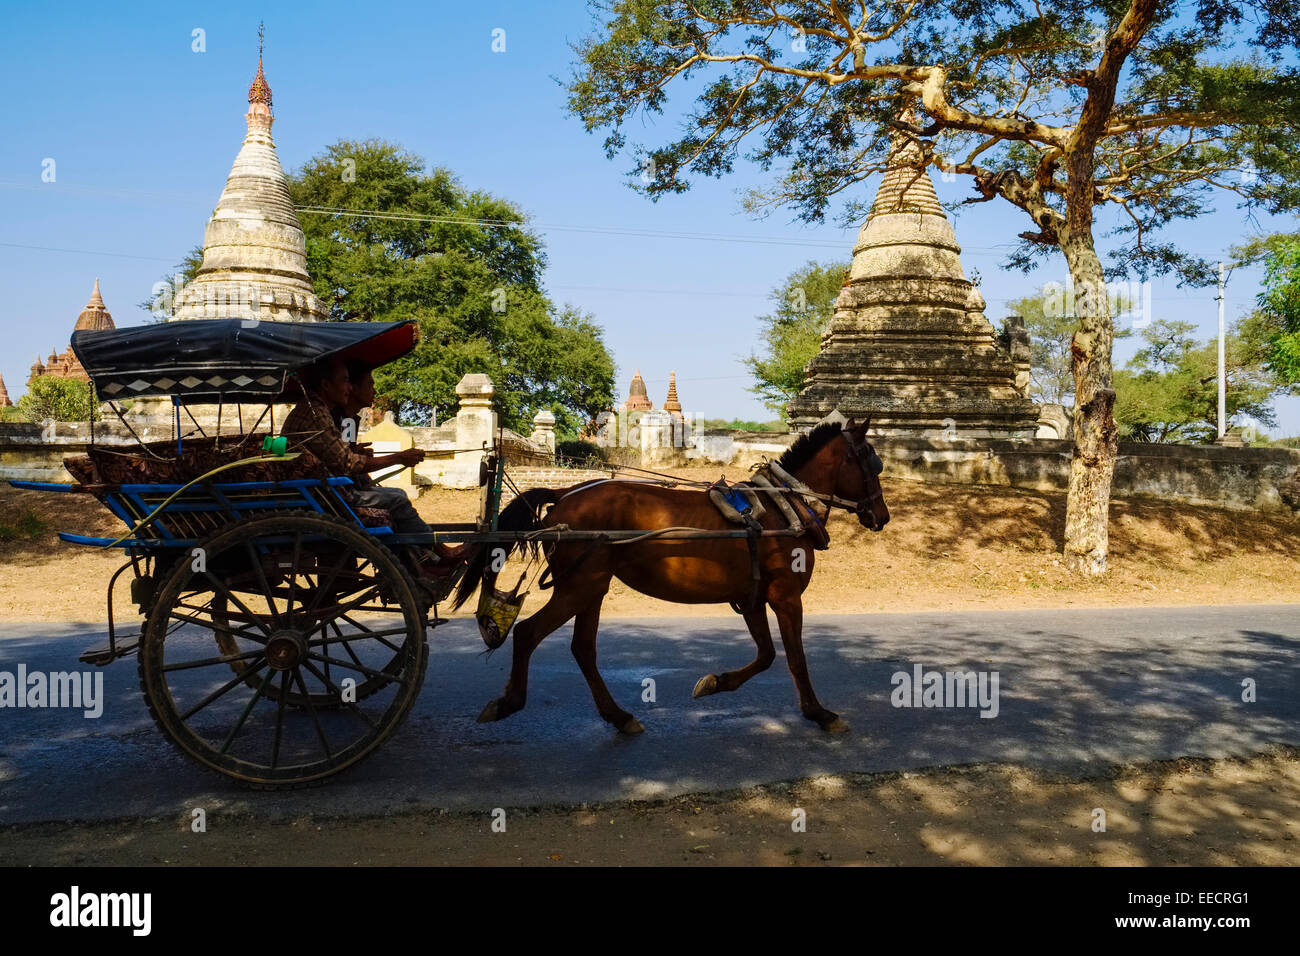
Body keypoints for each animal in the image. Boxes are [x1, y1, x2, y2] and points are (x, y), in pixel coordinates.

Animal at [452, 416, 889, 738]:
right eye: (871, 460)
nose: (881, 516)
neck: (784, 510)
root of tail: (564, 496)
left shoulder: (751, 598)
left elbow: (766, 655)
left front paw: (715, 682)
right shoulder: (785, 595)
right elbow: (796, 658)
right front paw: (818, 712)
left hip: (591, 586)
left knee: (583, 649)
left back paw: (619, 716)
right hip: (580, 587)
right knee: (528, 633)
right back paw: (508, 703)